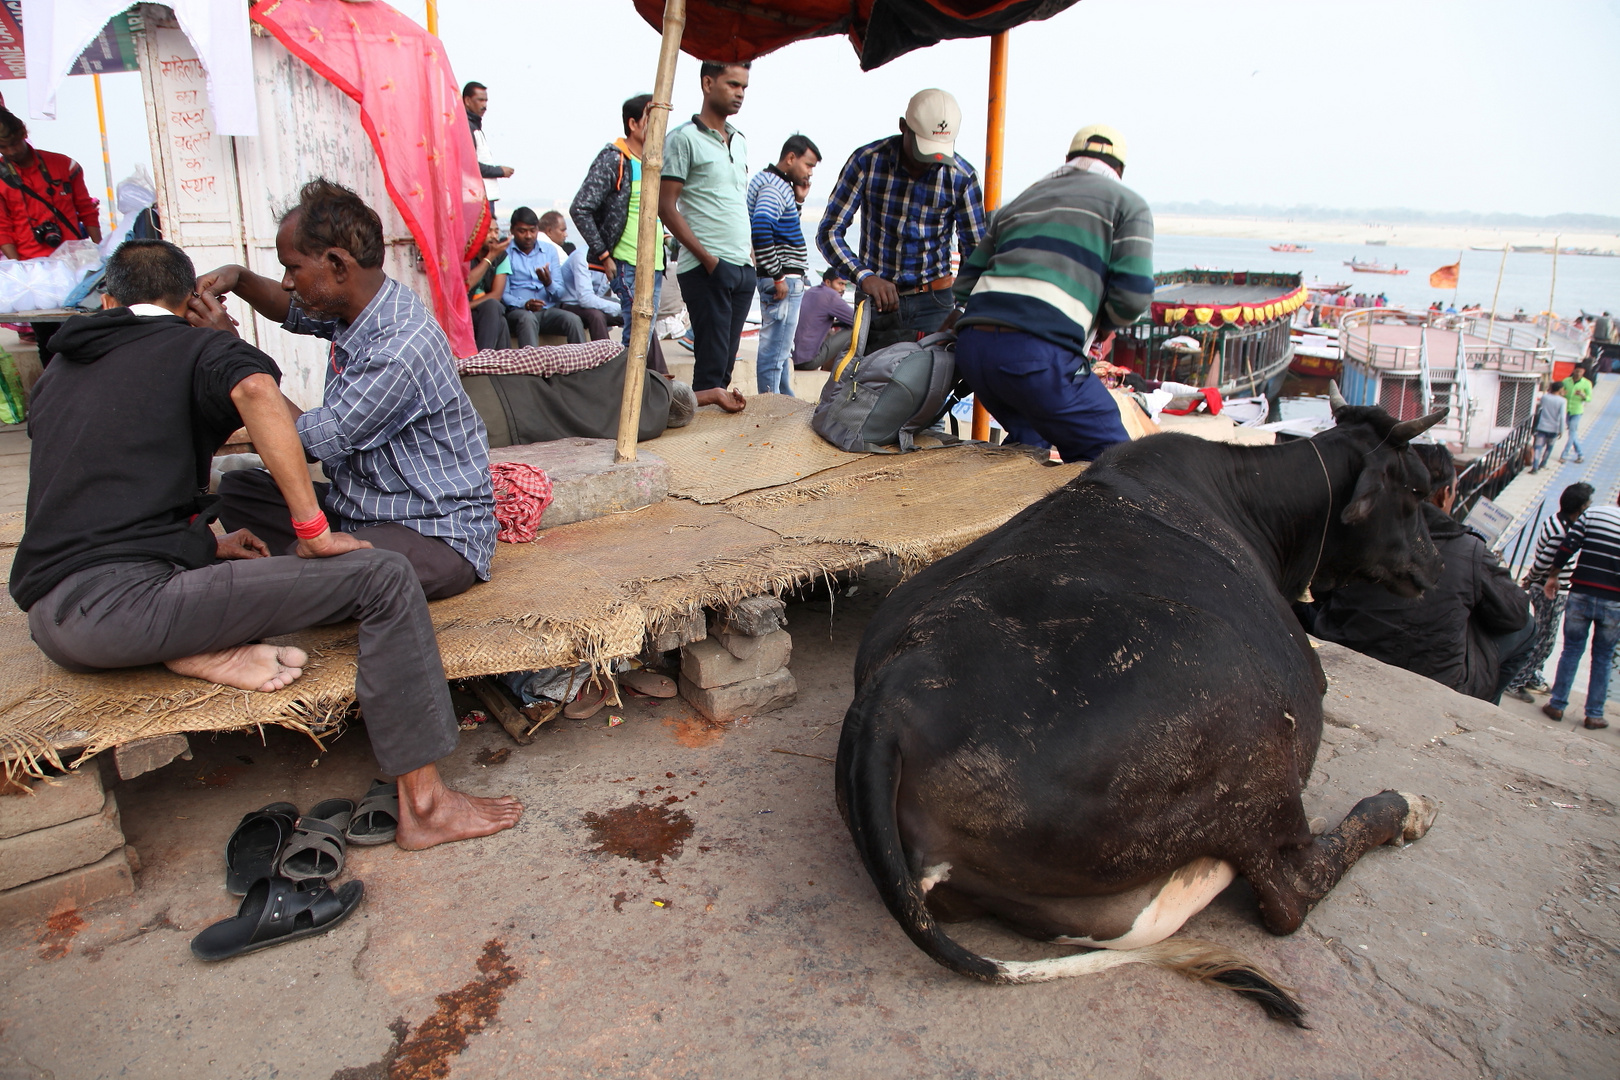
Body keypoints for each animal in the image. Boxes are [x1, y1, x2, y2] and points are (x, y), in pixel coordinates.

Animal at [842, 401, 1451, 1029]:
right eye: (1415, 491)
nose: (1435, 569)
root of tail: (895, 693)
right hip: (1247, 747)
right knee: (1290, 890)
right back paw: (1407, 808)